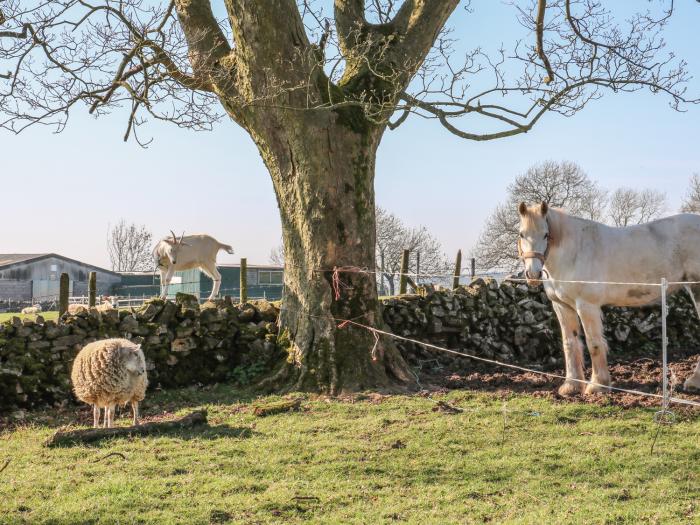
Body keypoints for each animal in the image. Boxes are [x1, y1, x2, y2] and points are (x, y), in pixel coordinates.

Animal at [516, 203, 700, 396]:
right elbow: (570, 344)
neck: (574, 253)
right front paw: (572, 385)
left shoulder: (586, 306)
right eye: (521, 234)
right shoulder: (562, 306)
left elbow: (594, 344)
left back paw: (693, 382)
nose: (533, 274)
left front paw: (598, 385)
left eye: (545, 234)